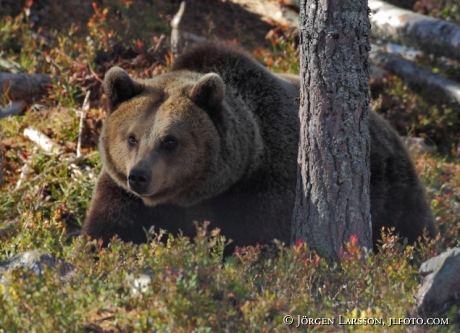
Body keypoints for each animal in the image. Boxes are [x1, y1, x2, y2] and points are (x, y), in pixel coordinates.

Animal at [82, 40, 434, 252]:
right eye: (131, 137)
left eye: (170, 140)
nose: (140, 176)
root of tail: (388, 126)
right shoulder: (124, 195)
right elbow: (109, 229)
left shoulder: (264, 189)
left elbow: (256, 240)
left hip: (391, 189)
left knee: (412, 228)